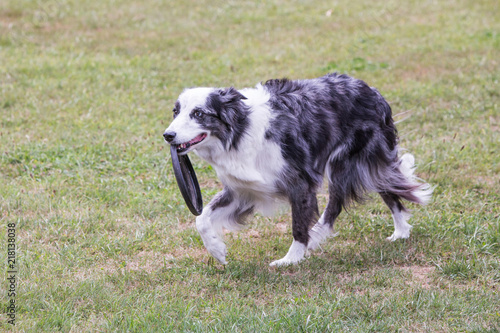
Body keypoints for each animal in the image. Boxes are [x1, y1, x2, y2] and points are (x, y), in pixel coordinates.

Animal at [162, 72, 432, 264]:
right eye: (175, 112)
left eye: (198, 113)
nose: (168, 135)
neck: (240, 129)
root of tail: (371, 90)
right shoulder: (243, 189)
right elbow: (202, 218)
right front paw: (217, 250)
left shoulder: (299, 183)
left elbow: (298, 225)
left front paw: (292, 258)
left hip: (351, 161)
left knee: (345, 202)